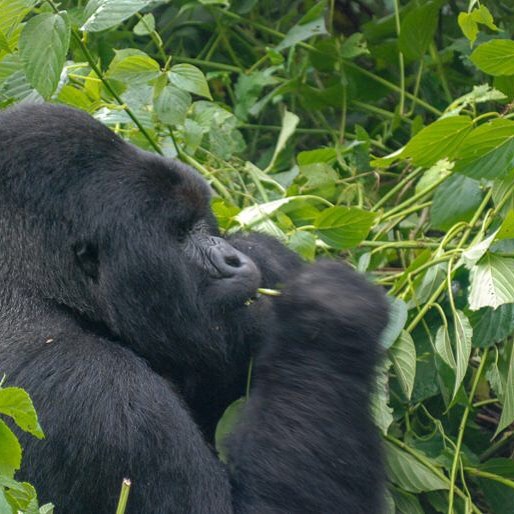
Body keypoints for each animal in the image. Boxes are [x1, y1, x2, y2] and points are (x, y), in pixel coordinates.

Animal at [0, 104, 386, 512]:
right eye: (180, 234)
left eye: (200, 220)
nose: (233, 260)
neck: (37, 285)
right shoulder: (95, 390)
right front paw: (334, 314)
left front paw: (267, 257)